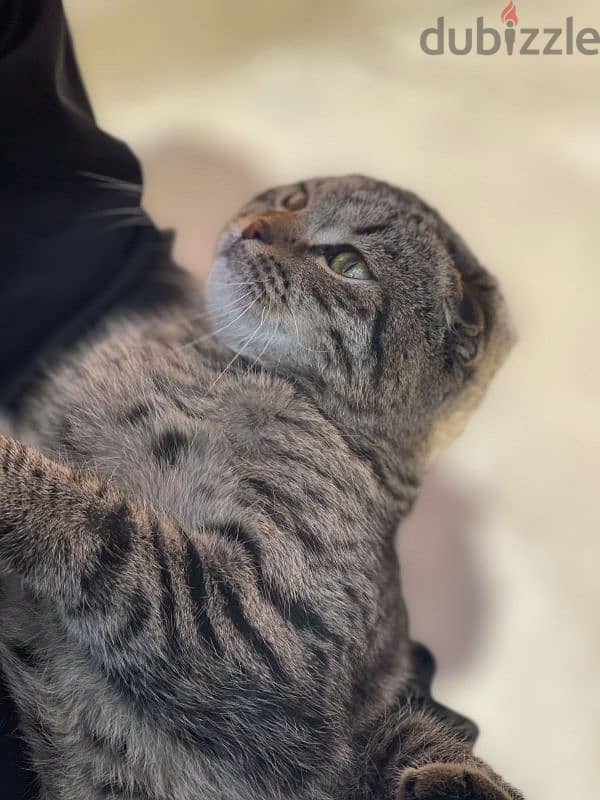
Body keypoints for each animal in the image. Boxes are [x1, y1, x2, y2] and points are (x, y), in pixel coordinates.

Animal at [0, 177, 520, 800]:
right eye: (295, 199)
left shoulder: (262, 625)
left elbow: (104, 526)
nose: (253, 228)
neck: (223, 364)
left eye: (348, 264)